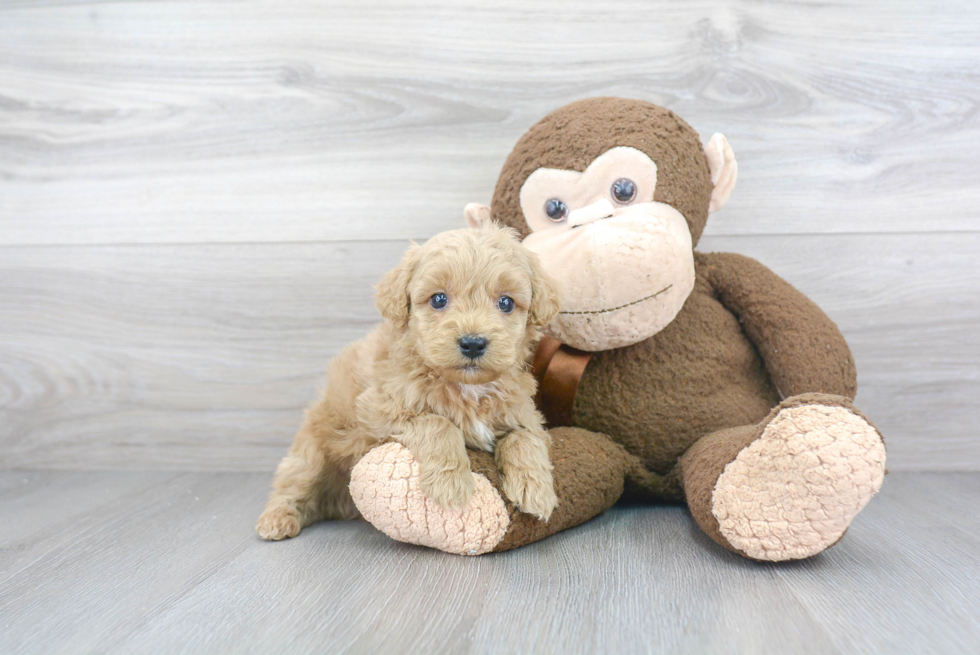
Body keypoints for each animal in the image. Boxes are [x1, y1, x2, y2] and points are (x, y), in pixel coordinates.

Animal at [255, 223, 560, 540]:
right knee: (294, 483)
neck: (465, 385)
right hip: (311, 451)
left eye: (506, 302)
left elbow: (524, 437)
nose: (473, 343)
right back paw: (277, 519)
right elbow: (438, 423)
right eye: (438, 299)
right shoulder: (378, 410)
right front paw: (451, 484)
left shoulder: (524, 413)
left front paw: (536, 489)